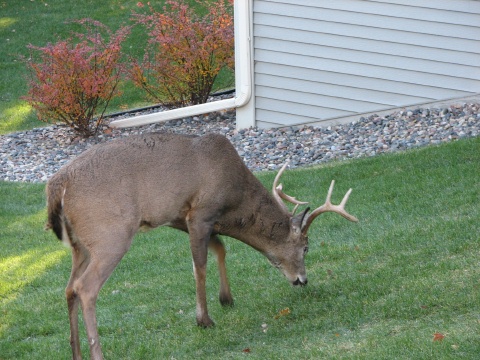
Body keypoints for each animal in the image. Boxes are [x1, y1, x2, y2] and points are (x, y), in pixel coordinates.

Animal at [46, 133, 356, 360]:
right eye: (306, 248)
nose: (302, 280)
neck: (234, 200)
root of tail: (57, 185)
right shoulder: (201, 212)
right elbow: (200, 265)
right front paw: (204, 319)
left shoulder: (181, 218)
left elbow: (220, 248)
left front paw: (226, 299)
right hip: (111, 234)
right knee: (85, 288)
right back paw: (96, 353)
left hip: (80, 245)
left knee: (69, 288)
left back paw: (75, 352)